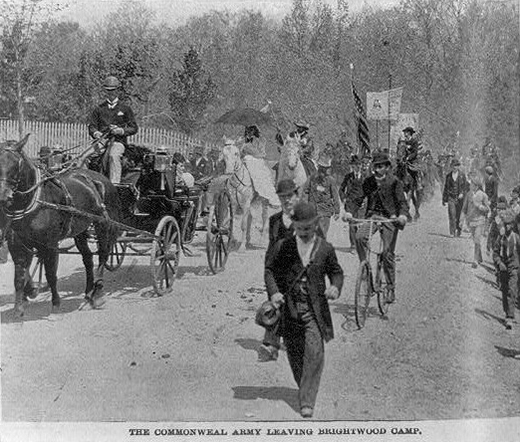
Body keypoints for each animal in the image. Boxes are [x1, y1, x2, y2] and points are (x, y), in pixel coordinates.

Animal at [0, 136, 121, 318]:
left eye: (16, 165)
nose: (3, 196)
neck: (35, 201)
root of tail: (100, 178)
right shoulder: (17, 245)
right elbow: (19, 276)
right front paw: (19, 307)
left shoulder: (50, 245)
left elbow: (51, 274)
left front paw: (55, 304)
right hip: (80, 231)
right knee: (88, 258)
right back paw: (88, 292)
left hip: (102, 224)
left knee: (103, 254)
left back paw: (98, 292)